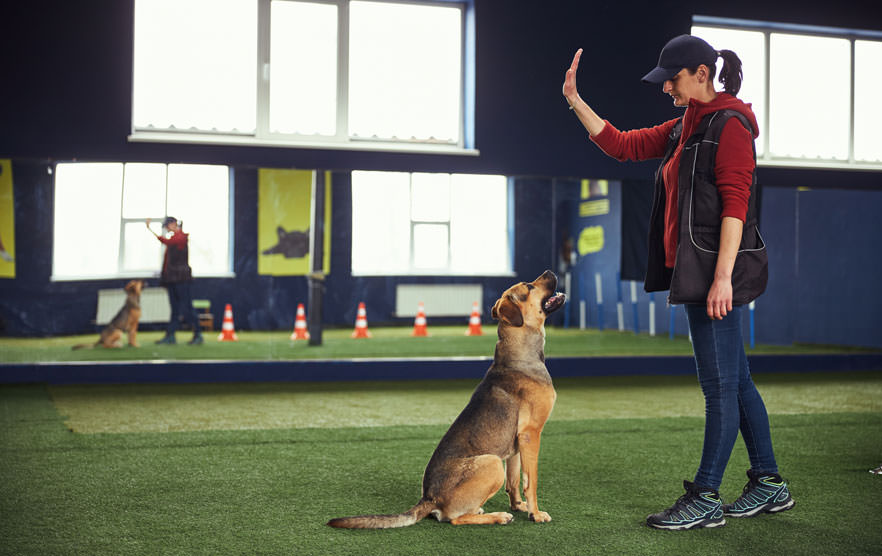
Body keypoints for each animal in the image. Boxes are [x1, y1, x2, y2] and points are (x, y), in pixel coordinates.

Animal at [328, 272, 564, 528]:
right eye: (529, 286)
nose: (551, 272)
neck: (519, 353)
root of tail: (430, 498)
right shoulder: (531, 434)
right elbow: (532, 481)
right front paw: (535, 513)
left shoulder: (517, 445)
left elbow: (515, 482)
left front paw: (519, 506)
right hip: (491, 463)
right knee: (455, 519)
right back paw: (498, 516)